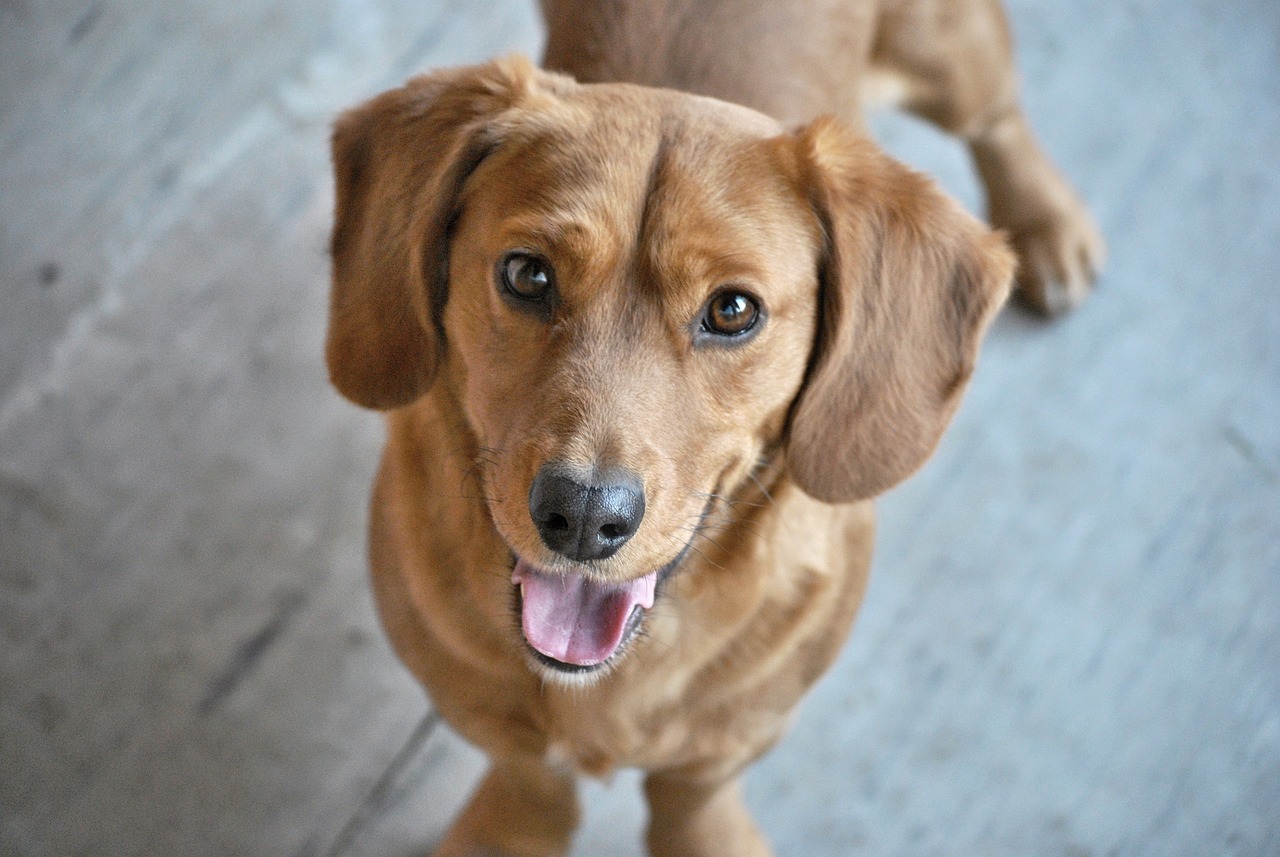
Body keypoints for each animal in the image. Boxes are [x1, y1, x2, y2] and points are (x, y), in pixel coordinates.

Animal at [325, 0, 1105, 854]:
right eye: (526, 274)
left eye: (733, 310)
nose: (583, 516)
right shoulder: (479, 706)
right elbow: (531, 778)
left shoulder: (735, 735)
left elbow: (693, 798)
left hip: (944, 52)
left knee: (995, 114)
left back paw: (1045, 219)